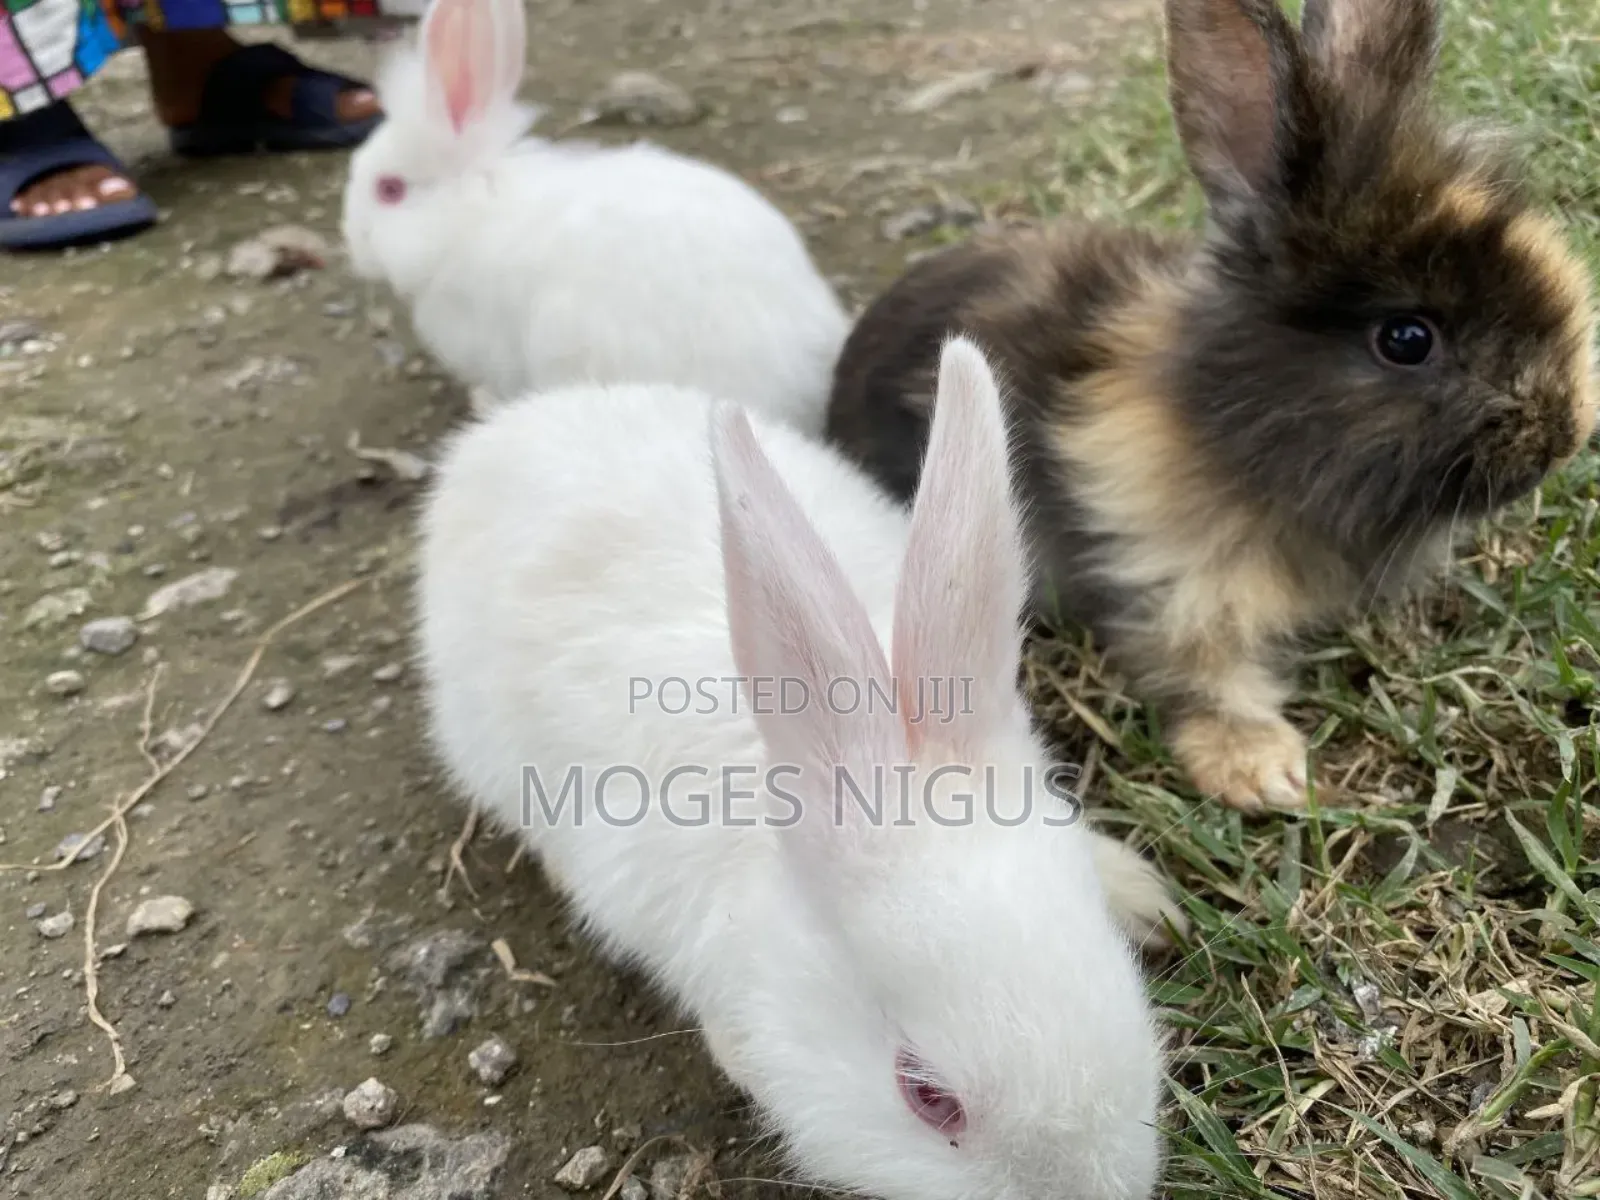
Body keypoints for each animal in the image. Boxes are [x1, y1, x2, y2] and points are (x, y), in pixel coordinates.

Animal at [417, 337, 1186, 1200]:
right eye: (927, 1098)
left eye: (1113, 971)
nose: (1102, 1190)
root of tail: (501, 437)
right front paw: (744, 1058)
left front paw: (1142, 899)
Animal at [824, 0, 1597, 814]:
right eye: (1407, 339)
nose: (1566, 434)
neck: (1221, 425)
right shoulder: (1171, 587)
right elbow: (1201, 679)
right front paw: (1265, 773)